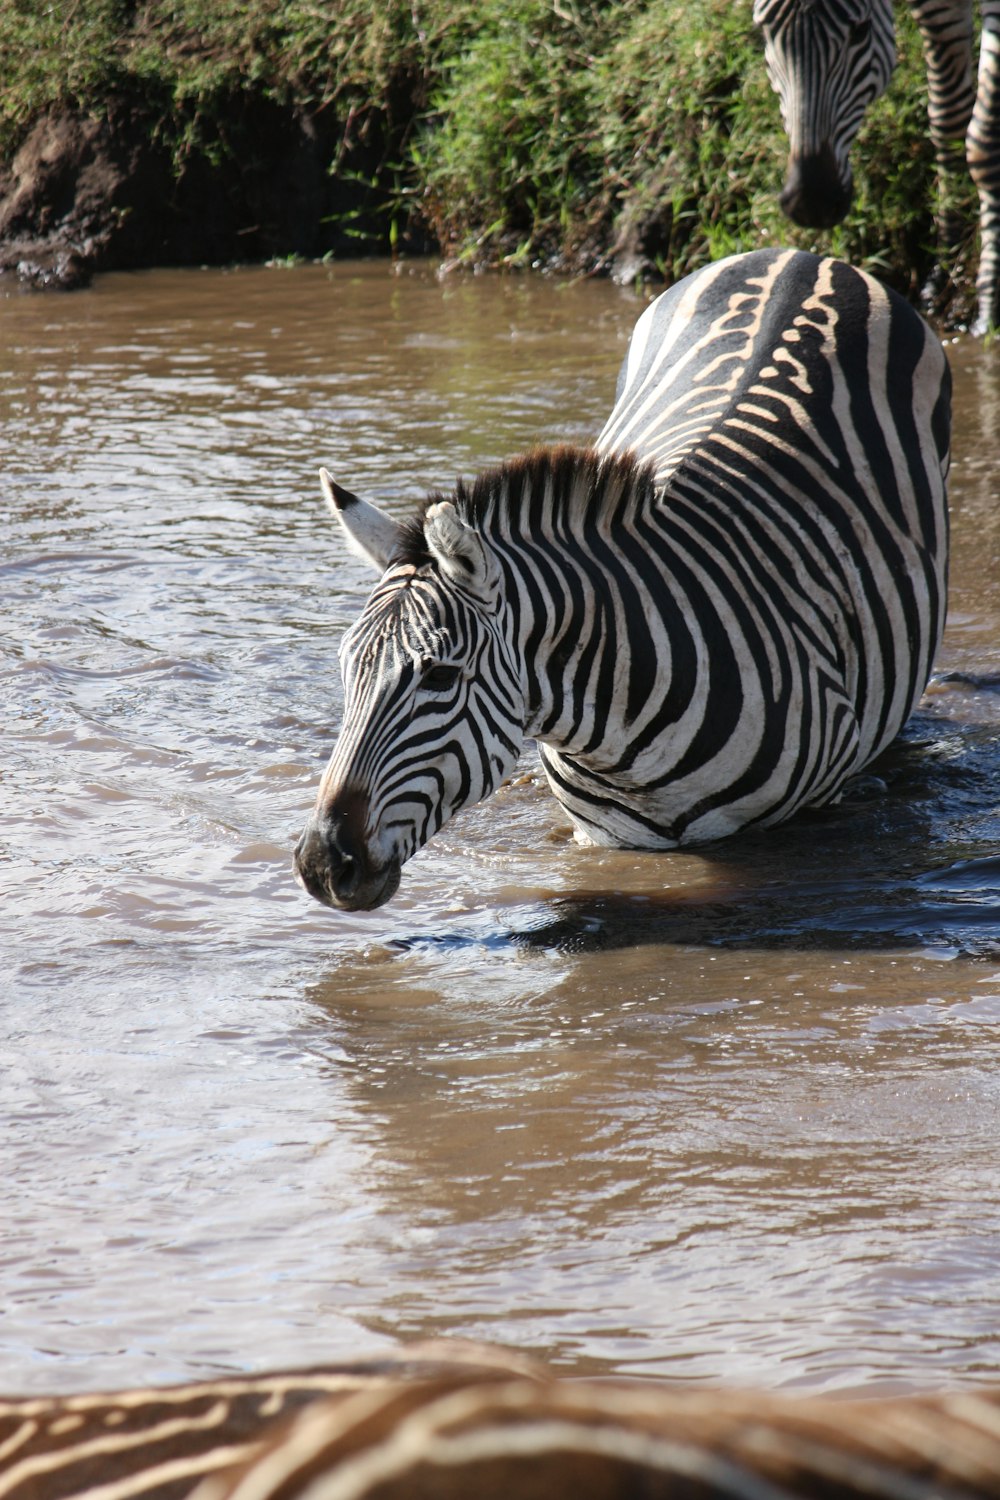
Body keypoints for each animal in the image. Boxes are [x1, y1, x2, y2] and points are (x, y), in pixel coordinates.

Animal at [293, 246, 953, 912]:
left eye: (441, 677)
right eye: (346, 670)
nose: (320, 865)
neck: (624, 741)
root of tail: (797, 255)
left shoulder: (818, 819)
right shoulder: (602, 841)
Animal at [755, 0, 1000, 334]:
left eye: (860, 31)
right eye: (764, 34)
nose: (811, 203)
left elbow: (983, 141)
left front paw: (989, 306)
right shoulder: (935, 10)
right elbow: (947, 117)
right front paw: (945, 270)